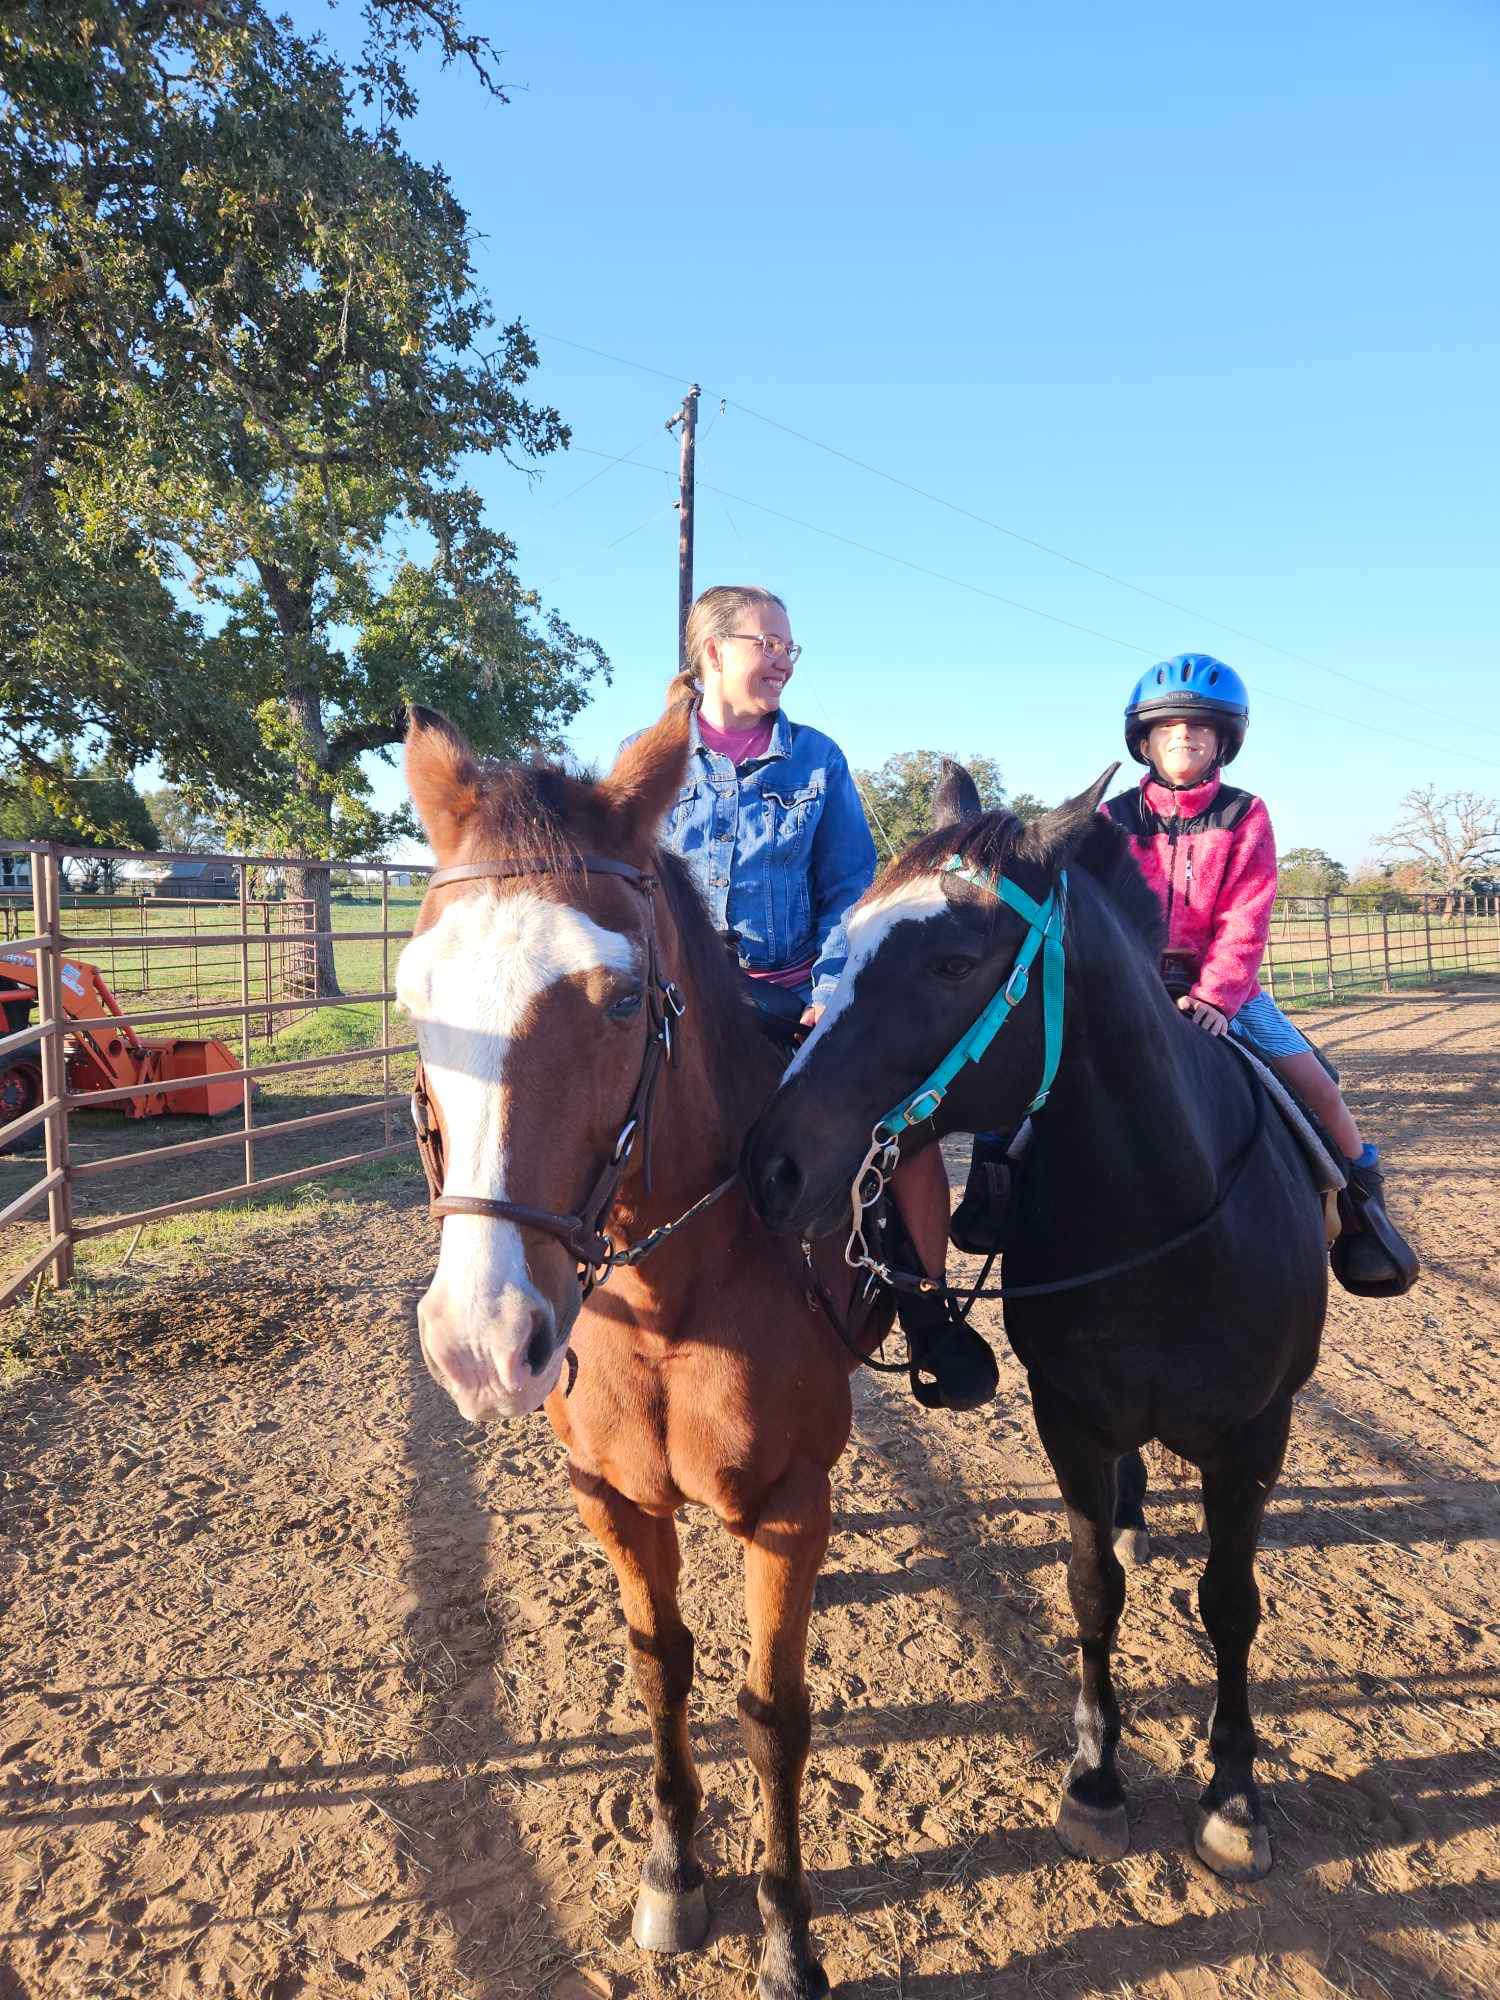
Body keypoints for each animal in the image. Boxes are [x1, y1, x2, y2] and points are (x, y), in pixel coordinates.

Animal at [395, 700, 896, 2000]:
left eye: (622, 1000)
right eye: (416, 992)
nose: (482, 1341)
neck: (677, 1301)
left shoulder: (787, 1502)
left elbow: (772, 1709)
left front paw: (788, 1931)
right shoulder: (612, 1495)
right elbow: (658, 1664)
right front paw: (673, 1872)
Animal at [744, 767, 1328, 1881]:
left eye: (953, 960)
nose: (771, 1164)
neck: (1164, 1214)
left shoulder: (1255, 1436)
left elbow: (1231, 1603)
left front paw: (1234, 1793)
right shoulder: (1073, 1420)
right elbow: (1091, 1588)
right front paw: (1095, 1776)